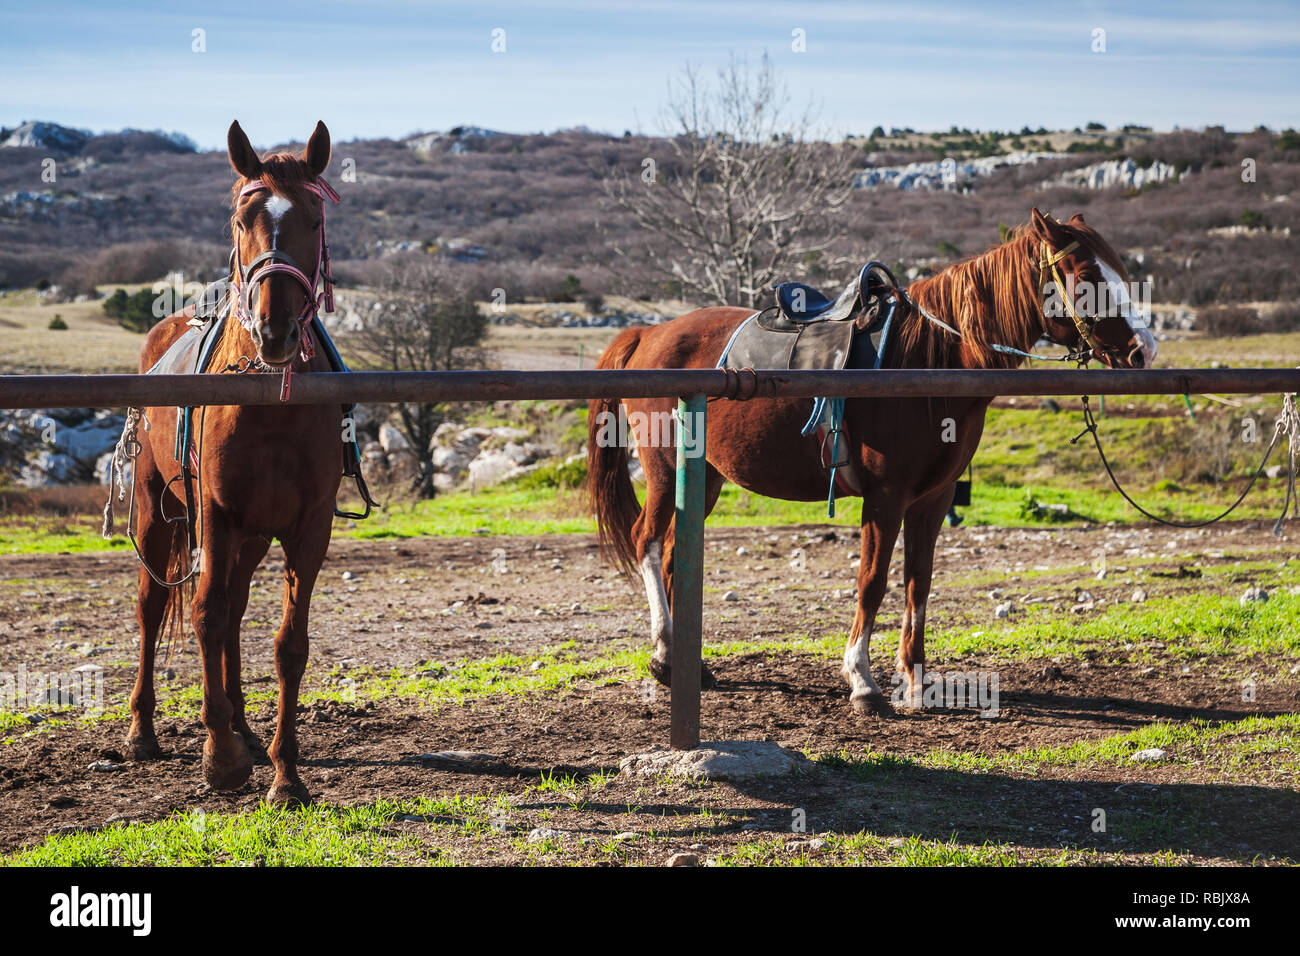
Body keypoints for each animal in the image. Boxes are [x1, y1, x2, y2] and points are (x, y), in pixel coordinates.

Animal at [122, 121, 343, 806]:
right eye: (243, 219)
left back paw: (245, 729)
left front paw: (285, 772)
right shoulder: (214, 515)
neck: (267, 403)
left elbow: (288, 643)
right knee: (155, 607)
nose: (274, 330)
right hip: (158, 516)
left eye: (314, 220)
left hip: (250, 537)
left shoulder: (308, 528)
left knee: (238, 607)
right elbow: (204, 614)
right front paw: (219, 758)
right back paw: (144, 731)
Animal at [592, 209, 1159, 717]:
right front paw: (862, 681)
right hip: (666, 471)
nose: (1144, 351)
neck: (930, 363)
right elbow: (873, 581)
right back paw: (666, 658)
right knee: (646, 543)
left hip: (704, 478)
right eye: (1087, 278)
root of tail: (649, 333)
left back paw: (687, 664)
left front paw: (917, 680)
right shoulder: (885, 498)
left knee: (672, 554)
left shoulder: (933, 499)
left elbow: (918, 582)